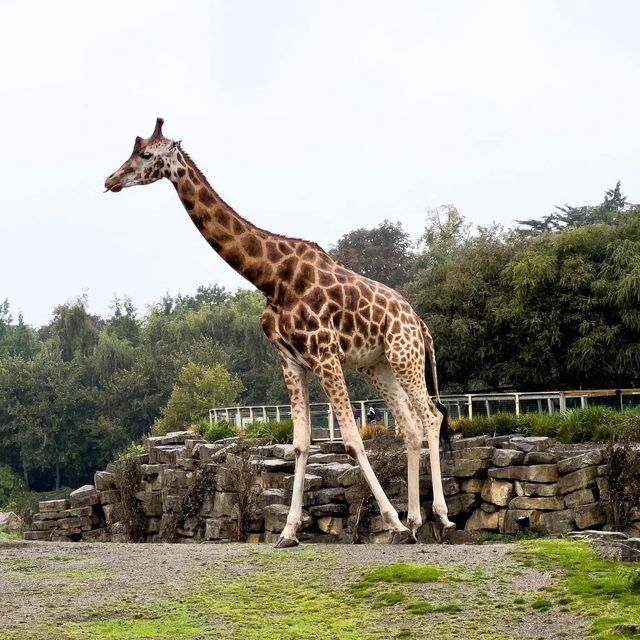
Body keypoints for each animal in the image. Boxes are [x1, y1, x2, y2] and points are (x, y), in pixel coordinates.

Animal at [106, 119, 456, 544]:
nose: (110, 180)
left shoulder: (324, 354)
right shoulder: (291, 360)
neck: (270, 278)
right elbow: (301, 444)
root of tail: (419, 321)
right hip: (379, 364)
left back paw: (439, 517)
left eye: (146, 155)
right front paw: (288, 531)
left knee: (431, 418)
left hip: (405, 355)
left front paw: (390, 519)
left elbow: (352, 439)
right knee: (409, 425)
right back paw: (416, 521)